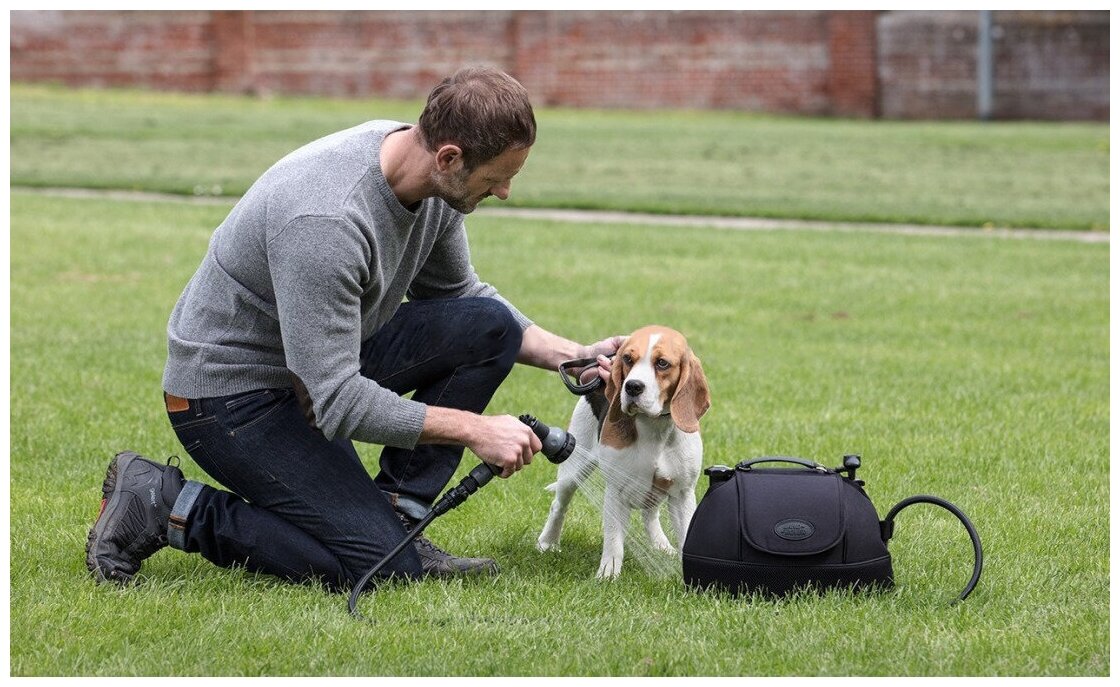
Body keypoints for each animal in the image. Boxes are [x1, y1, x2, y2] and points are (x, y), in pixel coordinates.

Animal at [533, 325, 707, 573]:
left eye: (662, 363)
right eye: (627, 358)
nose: (632, 386)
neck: (654, 428)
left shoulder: (683, 494)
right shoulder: (616, 491)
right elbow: (614, 540)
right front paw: (608, 574)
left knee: (649, 514)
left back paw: (662, 546)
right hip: (572, 467)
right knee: (558, 506)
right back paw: (548, 542)